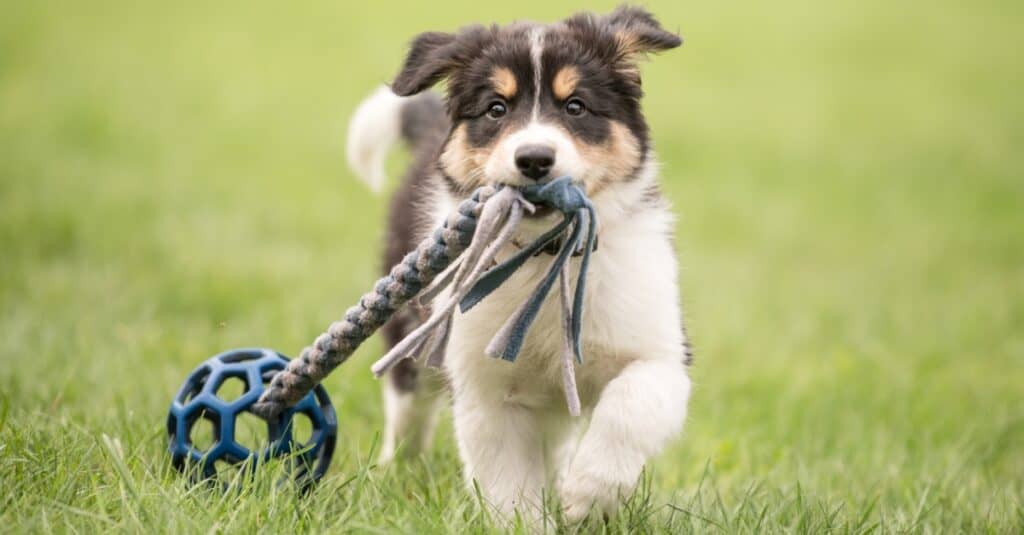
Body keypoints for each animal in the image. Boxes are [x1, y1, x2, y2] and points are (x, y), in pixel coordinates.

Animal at [346, 4, 696, 520]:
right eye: (497, 109)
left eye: (575, 106)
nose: (533, 158)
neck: (544, 256)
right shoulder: (483, 385)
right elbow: (508, 484)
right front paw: (531, 518)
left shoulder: (660, 350)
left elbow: (629, 408)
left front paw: (585, 495)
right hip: (410, 334)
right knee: (406, 409)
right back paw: (397, 472)